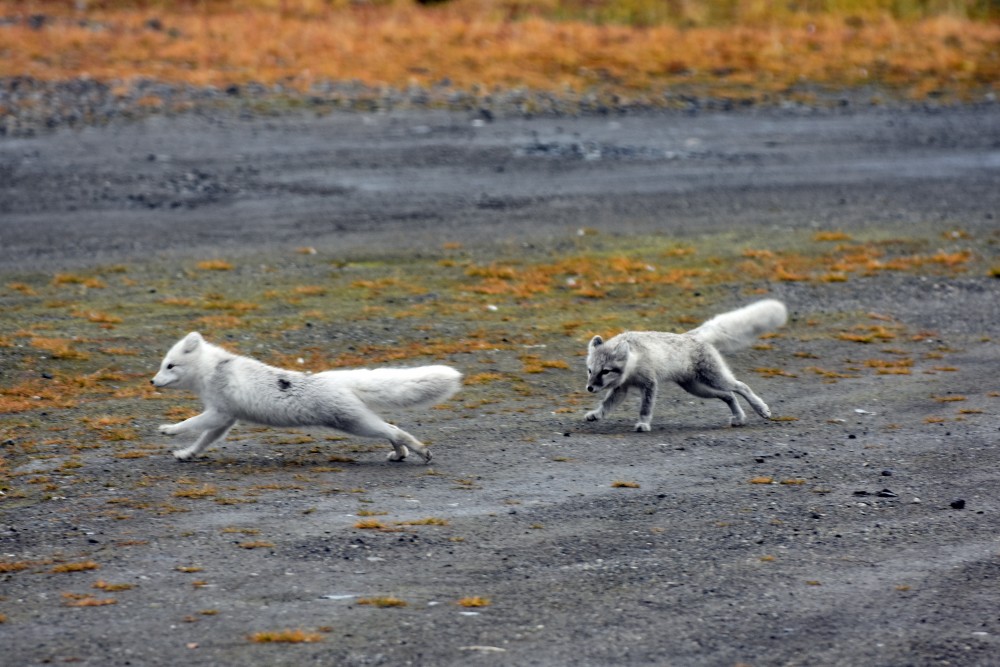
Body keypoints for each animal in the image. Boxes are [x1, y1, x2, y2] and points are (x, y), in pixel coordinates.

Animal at [150, 334, 462, 464]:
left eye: (170, 366)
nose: (152, 382)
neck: (213, 369)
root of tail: (337, 379)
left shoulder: (219, 413)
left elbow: (191, 423)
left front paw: (169, 429)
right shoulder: (225, 419)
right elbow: (203, 441)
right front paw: (187, 454)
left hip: (355, 424)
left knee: (395, 431)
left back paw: (419, 452)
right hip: (359, 423)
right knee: (393, 432)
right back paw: (399, 455)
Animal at [584, 298, 788, 434]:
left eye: (605, 371)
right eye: (590, 370)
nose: (589, 388)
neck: (633, 363)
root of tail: (691, 335)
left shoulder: (650, 384)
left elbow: (646, 407)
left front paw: (643, 424)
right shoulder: (621, 388)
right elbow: (606, 404)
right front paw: (596, 414)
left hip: (715, 379)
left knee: (740, 387)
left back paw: (761, 409)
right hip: (696, 388)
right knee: (728, 396)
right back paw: (739, 418)